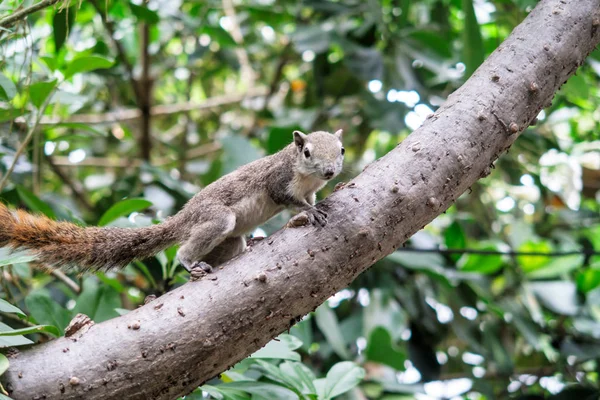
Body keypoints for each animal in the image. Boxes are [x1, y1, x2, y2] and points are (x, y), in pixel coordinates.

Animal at [0, 130, 342, 274]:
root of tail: (183, 217)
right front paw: (311, 212)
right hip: (216, 218)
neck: (307, 178)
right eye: (307, 152)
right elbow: (287, 198)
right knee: (184, 250)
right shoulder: (278, 180)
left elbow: (309, 198)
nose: (330, 171)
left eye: (340, 150)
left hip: (229, 241)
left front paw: (318, 203)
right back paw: (189, 263)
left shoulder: (309, 187)